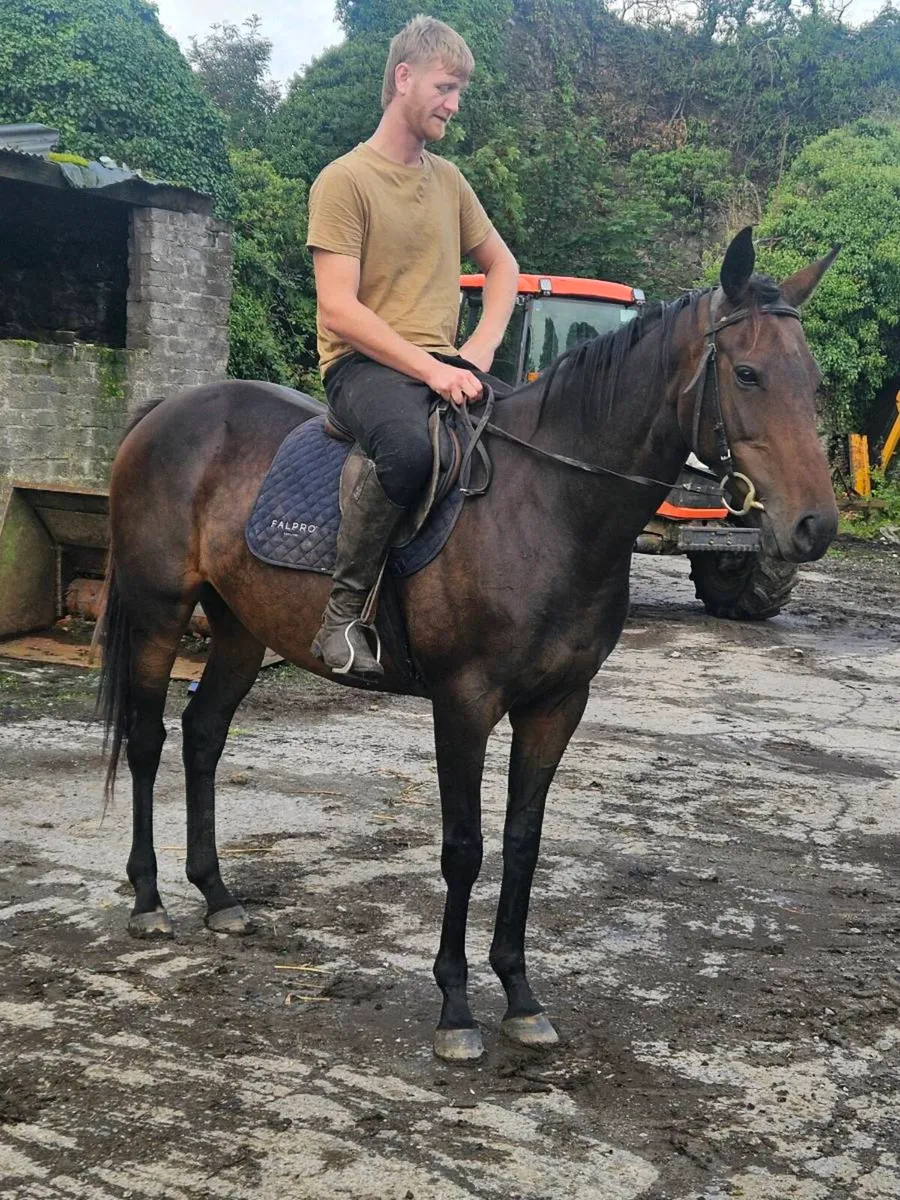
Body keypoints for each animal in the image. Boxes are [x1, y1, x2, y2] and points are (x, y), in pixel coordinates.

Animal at [98, 228, 839, 1061]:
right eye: (746, 373)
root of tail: (166, 410)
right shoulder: (464, 702)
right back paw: (150, 900)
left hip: (238, 629)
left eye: (811, 380)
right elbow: (464, 846)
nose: (815, 525)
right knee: (149, 738)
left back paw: (218, 896)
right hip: (161, 614)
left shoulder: (557, 704)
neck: (548, 506)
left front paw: (519, 994)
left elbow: (522, 841)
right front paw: (455, 1006)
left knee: (202, 735)